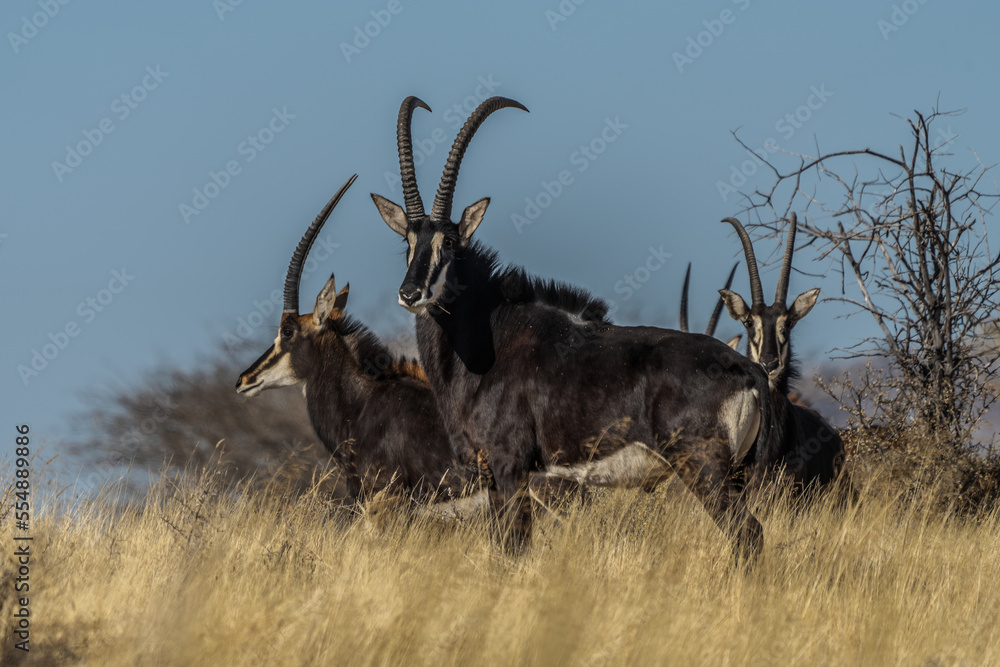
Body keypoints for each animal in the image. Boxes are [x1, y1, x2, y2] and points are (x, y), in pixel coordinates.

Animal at [371, 96, 780, 562]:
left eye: (451, 243)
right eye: (408, 241)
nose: (411, 293)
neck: (487, 337)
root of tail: (749, 369)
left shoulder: (510, 465)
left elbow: (514, 547)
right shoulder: (493, 477)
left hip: (704, 467)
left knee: (747, 533)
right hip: (735, 474)